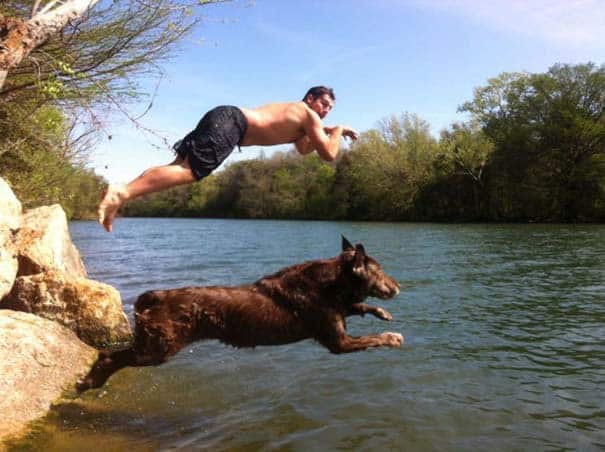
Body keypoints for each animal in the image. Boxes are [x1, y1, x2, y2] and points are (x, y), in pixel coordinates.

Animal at [78, 237, 404, 392]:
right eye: (380, 271)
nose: (399, 285)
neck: (330, 284)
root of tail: (154, 296)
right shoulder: (338, 343)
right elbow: (373, 338)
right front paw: (392, 336)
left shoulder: (339, 314)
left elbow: (359, 307)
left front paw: (382, 312)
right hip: (158, 348)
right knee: (109, 356)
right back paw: (89, 382)